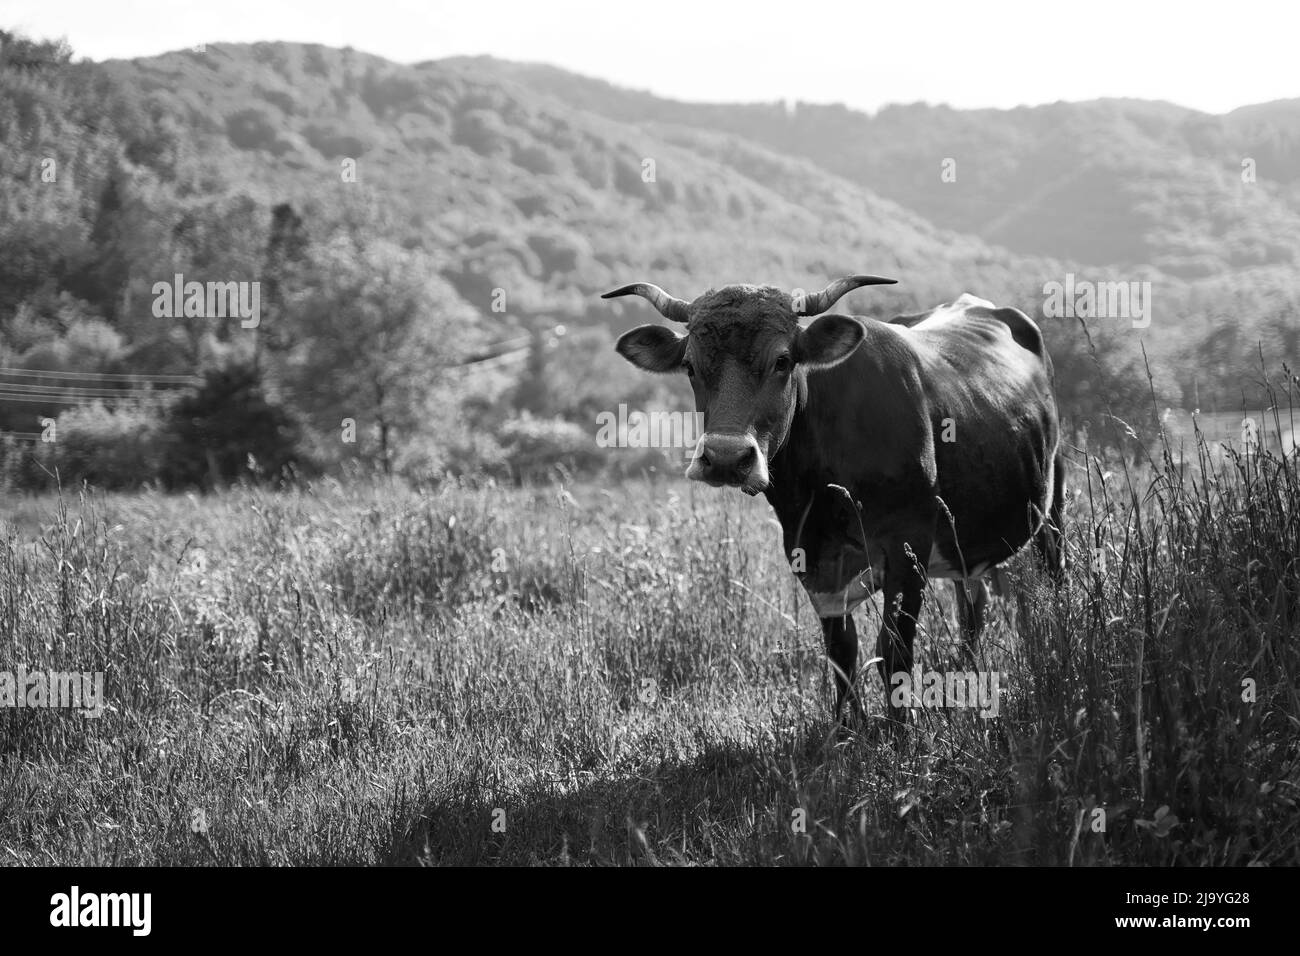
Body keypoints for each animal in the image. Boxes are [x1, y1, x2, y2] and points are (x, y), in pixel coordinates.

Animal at [603, 277, 1060, 723]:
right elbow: (842, 651)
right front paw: (846, 728)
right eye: (691, 366)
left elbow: (894, 649)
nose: (725, 458)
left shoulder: (909, 542)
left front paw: (901, 732)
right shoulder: (810, 555)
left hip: (1052, 502)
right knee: (973, 606)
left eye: (782, 361)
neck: (821, 491)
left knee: (1050, 579)